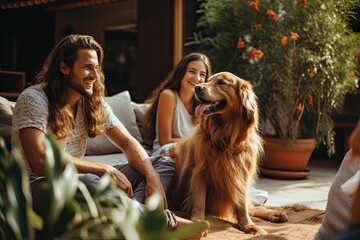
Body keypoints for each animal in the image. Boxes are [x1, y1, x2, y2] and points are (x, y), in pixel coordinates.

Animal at [167, 71, 288, 234]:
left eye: (222, 82)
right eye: (208, 80)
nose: (197, 88)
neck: (225, 137)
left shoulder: (241, 173)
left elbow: (242, 205)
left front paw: (248, 225)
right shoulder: (200, 171)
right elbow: (199, 200)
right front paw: (197, 222)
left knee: (252, 207)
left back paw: (275, 214)